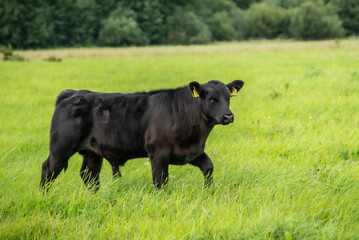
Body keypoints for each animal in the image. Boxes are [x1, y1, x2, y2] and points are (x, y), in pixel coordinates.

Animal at [41, 79, 245, 190]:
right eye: (211, 99)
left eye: (228, 98)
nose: (228, 116)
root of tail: (72, 93)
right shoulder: (158, 152)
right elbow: (160, 180)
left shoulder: (192, 151)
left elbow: (208, 167)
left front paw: (209, 191)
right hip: (60, 147)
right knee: (49, 169)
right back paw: (44, 196)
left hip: (92, 152)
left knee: (89, 176)